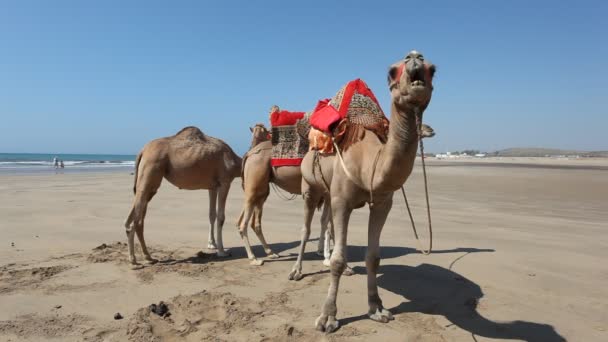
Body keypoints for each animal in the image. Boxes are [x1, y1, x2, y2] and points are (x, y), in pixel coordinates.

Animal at [124, 125, 241, 268]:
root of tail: (142, 151)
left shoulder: (213, 186)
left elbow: (211, 214)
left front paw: (211, 244)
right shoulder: (225, 181)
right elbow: (221, 217)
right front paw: (221, 251)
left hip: (148, 182)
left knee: (133, 219)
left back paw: (146, 257)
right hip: (150, 172)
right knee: (136, 221)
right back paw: (136, 259)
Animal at [302, 50, 440, 332]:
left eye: (434, 69)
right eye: (391, 71)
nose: (415, 57)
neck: (370, 161)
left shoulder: (382, 202)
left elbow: (373, 257)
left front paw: (377, 308)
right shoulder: (342, 200)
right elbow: (338, 259)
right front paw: (327, 317)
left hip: (328, 194)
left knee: (326, 222)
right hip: (310, 187)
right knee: (307, 227)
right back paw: (296, 271)